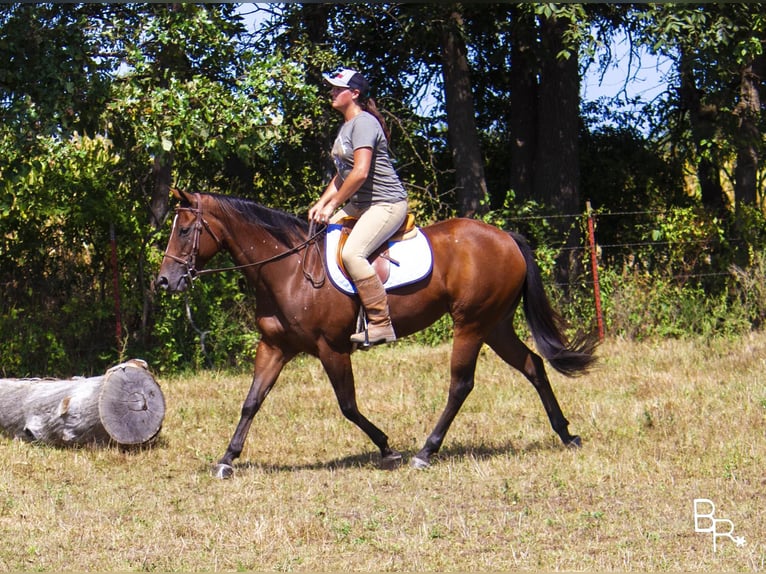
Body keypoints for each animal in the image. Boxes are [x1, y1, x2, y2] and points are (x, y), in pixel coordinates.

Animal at [158, 190, 600, 482]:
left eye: (185, 230)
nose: (164, 281)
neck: (288, 269)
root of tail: (506, 236)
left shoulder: (331, 348)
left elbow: (348, 405)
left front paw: (388, 448)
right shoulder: (275, 347)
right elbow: (251, 402)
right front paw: (227, 459)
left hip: (471, 324)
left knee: (461, 384)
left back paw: (426, 451)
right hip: (495, 325)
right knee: (533, 365)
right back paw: (566, 434)